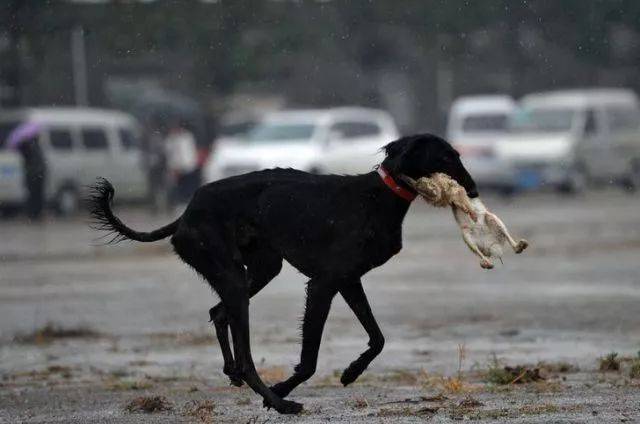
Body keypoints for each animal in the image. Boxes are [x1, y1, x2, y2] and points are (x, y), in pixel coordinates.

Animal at [90, 135, 478, 414]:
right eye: (447, 157)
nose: (473, 191)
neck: (377, 197)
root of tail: (185, 215)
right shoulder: (323, 284)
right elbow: (309, 361)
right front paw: (280, 390)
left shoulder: (348, 280)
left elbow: (378, 338)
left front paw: (351, 371)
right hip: (233, 276)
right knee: (246, 354)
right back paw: (278, 402)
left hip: (261, 268)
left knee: (218, 313)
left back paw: (233, 373)